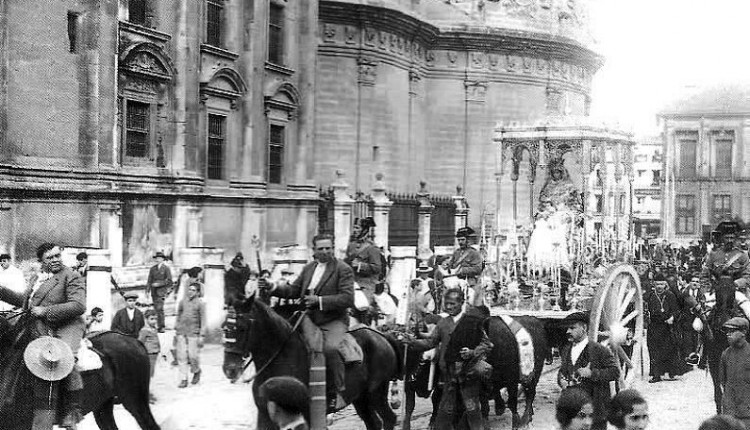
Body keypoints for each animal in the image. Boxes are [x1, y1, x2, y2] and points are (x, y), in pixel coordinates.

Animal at [223, 296, 406, 430]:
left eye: (242, 328)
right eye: (224, 327)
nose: (229, 369)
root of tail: (381, 336)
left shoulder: (307, 413)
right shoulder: (265, 415)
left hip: (376, 392)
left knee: (389, 419)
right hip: (361, 398)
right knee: (374, 422)